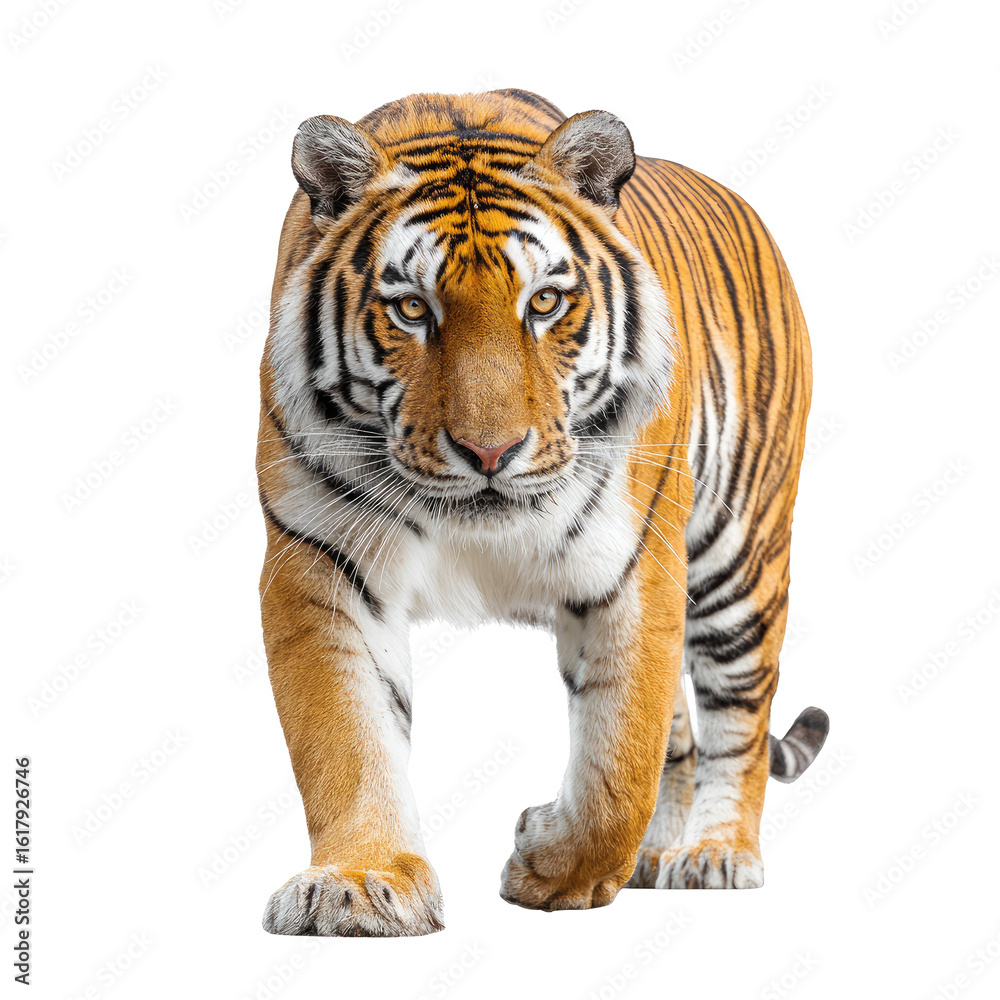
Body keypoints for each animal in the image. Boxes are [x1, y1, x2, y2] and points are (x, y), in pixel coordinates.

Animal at [256, 88, 829, 937]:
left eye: (546, 302)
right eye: (411, 309)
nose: (489, 452)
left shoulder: (636, 570)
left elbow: (618, 763)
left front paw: (554, 871)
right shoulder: (321, 564)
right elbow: (346, 740)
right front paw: (359, 883)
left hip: (739, 562)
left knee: (739, 721)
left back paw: (716, 854)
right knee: (681, 739)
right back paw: (654, 858)